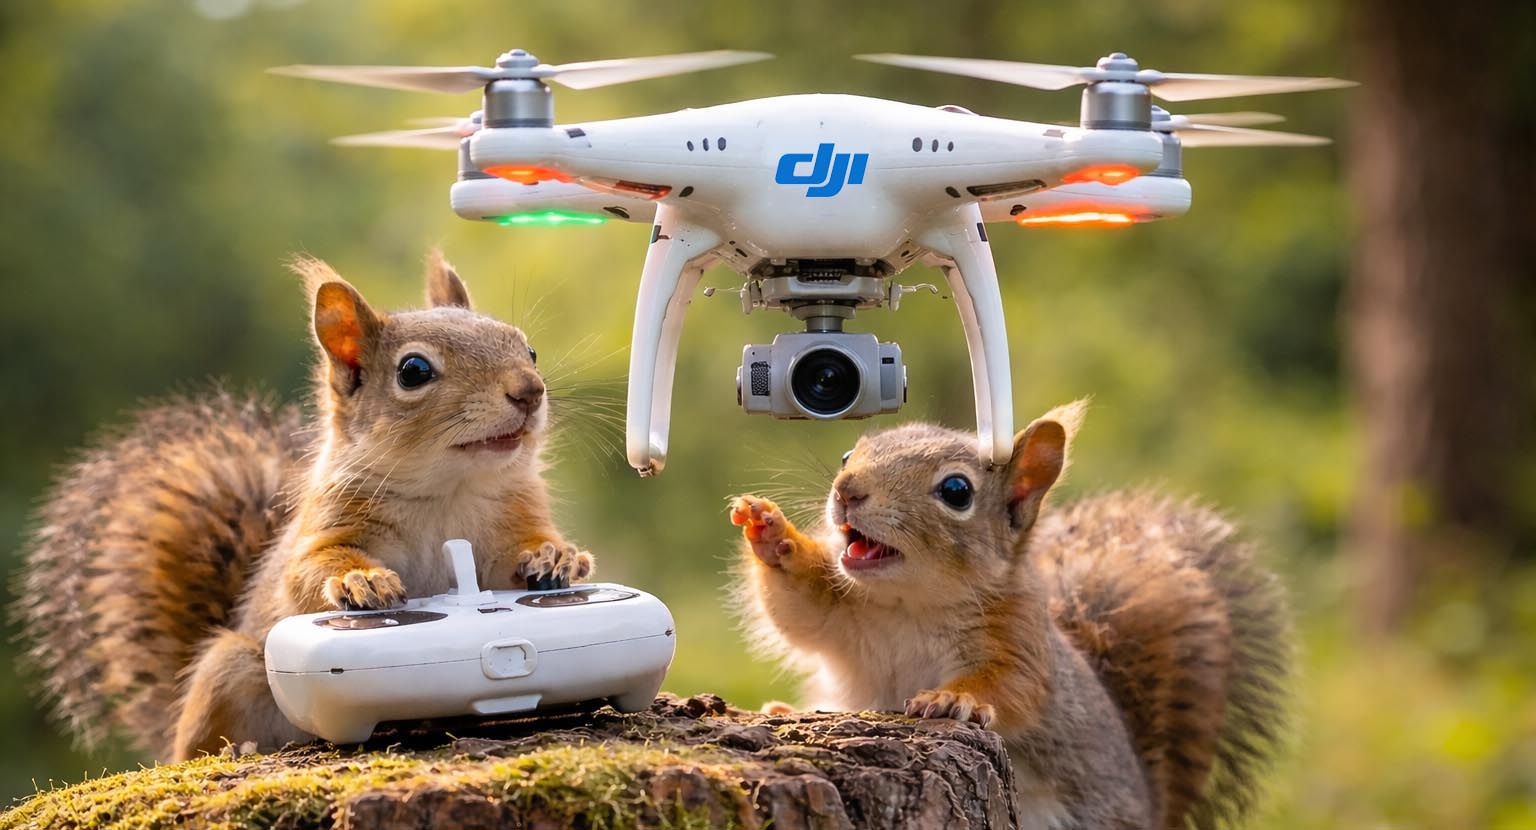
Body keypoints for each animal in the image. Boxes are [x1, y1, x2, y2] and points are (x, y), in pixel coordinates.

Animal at [17, 251, 593, 762]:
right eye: (413, 371)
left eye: (529, 350)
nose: (529, 391)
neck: (450, 490)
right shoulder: (325, 525)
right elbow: (308, 572)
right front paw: (362, 580)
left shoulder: (512, 520)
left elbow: (514, 563)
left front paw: (558, 556)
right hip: (232, 670)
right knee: (196, 745)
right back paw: (236, 748)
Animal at [730, 402, 1290, 830]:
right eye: (849, 455)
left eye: (956, 492)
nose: (846, 490)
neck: (910, 604)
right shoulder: (842, 610)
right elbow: (799, 611)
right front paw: (769, 530)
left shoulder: (1017, 637)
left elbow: (1011, 685)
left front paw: (951, 699)